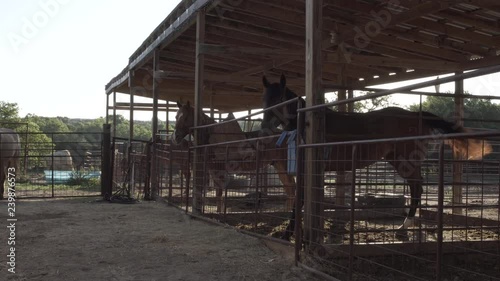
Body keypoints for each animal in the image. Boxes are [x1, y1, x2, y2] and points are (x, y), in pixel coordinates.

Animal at [262, 74, 492, 238]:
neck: (306, 125)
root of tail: (416, 114)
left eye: (280, 98)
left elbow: (299, 200)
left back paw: (403, 227)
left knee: (417, 188)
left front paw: (288, 234)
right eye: (265, 99)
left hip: (405, 162)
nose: (265, 126)